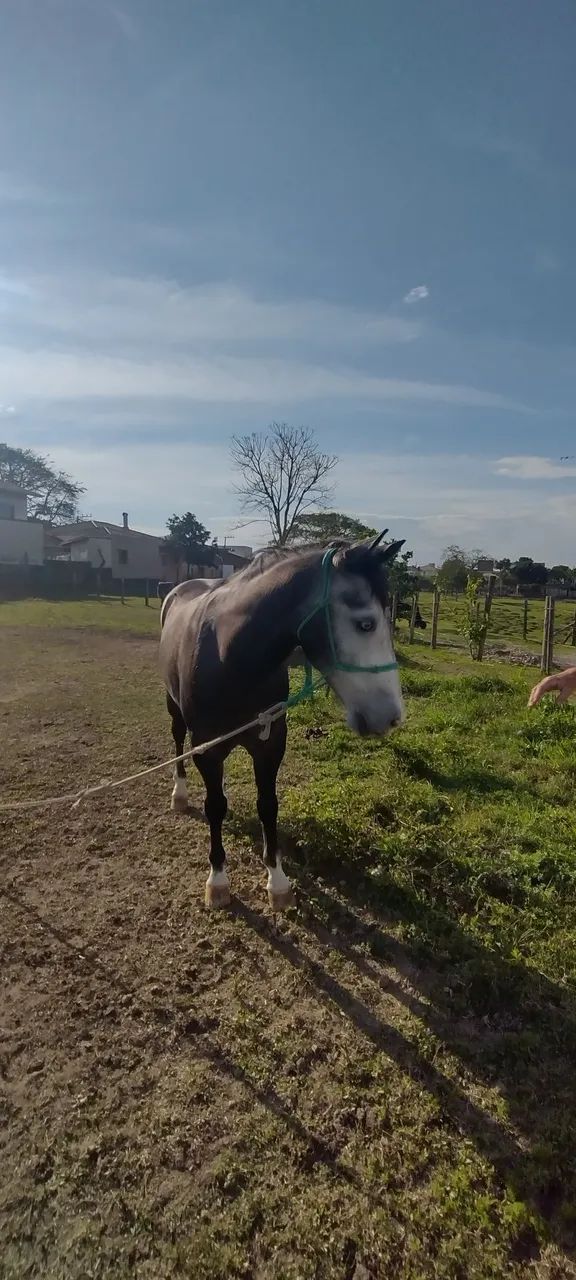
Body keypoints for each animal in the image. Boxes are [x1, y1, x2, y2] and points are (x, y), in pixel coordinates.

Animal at [159, 532, 405, 911]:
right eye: (365, 623)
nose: (392, 717)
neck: (231, 656)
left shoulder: (271, 742)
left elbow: (267, 806)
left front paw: (277, 881)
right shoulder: (207, 749)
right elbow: (215, 807)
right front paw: (218, 880)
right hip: (174, 710)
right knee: (176, 742)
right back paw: (180, 793)